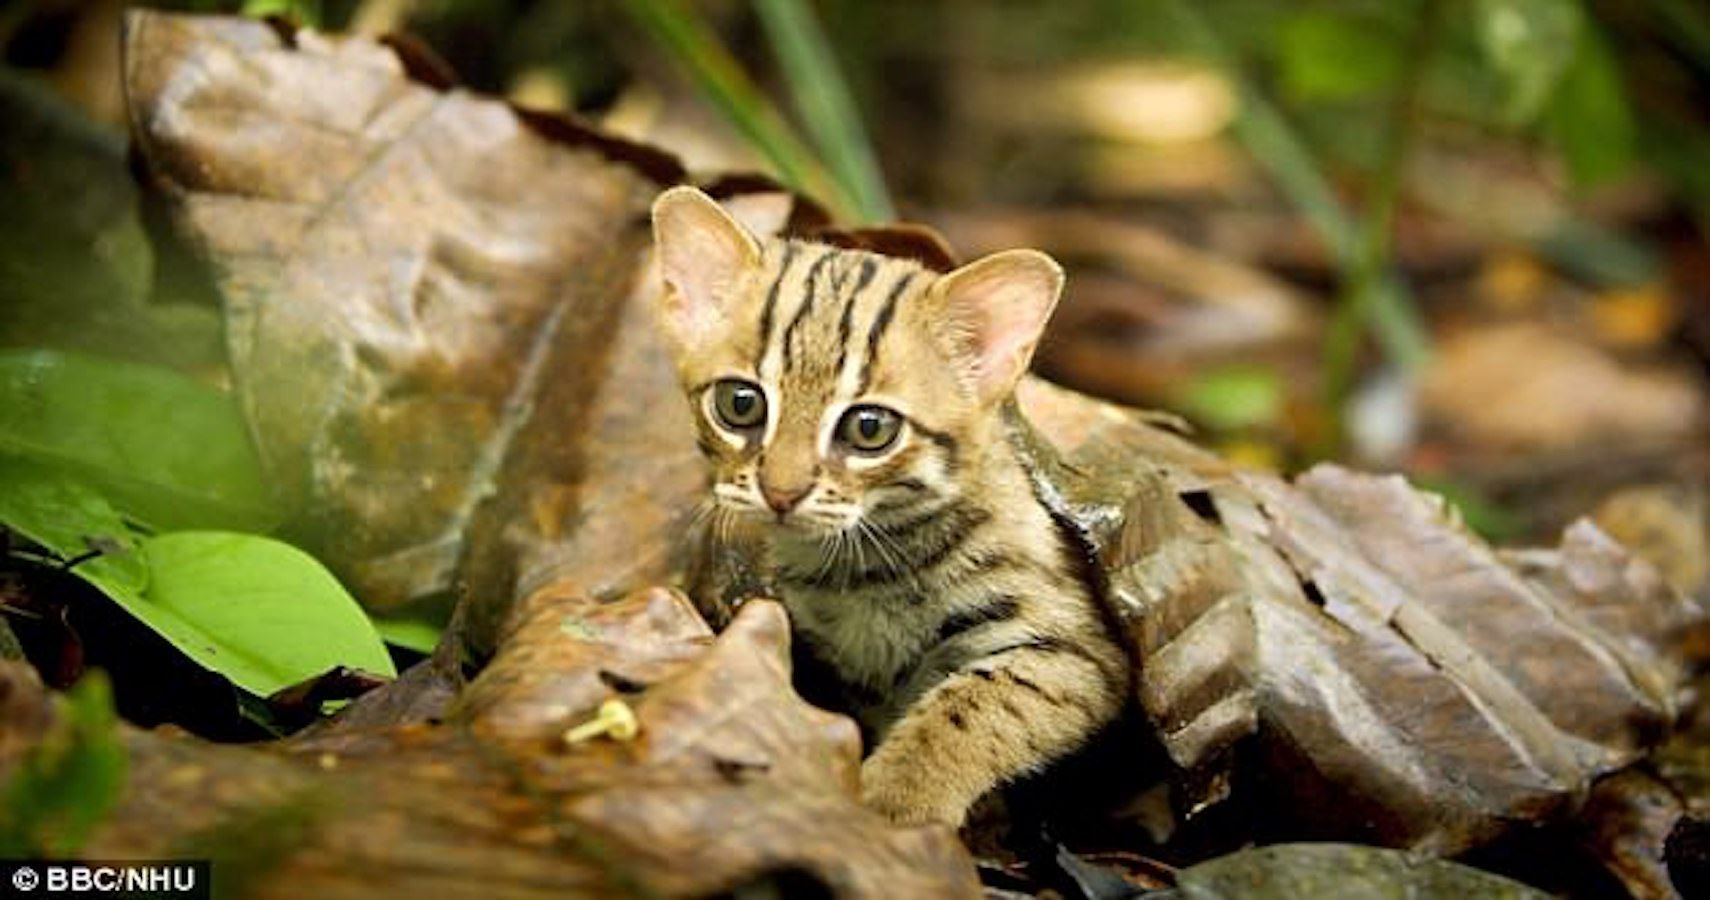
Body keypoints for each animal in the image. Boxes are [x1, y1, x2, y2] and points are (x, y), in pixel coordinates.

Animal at [649, 187, 1121, 828]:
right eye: (739, 403)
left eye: (870, 428)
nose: (780, 493)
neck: (866, 567)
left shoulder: (1081, 652)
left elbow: (977, 703)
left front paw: (896, 802)